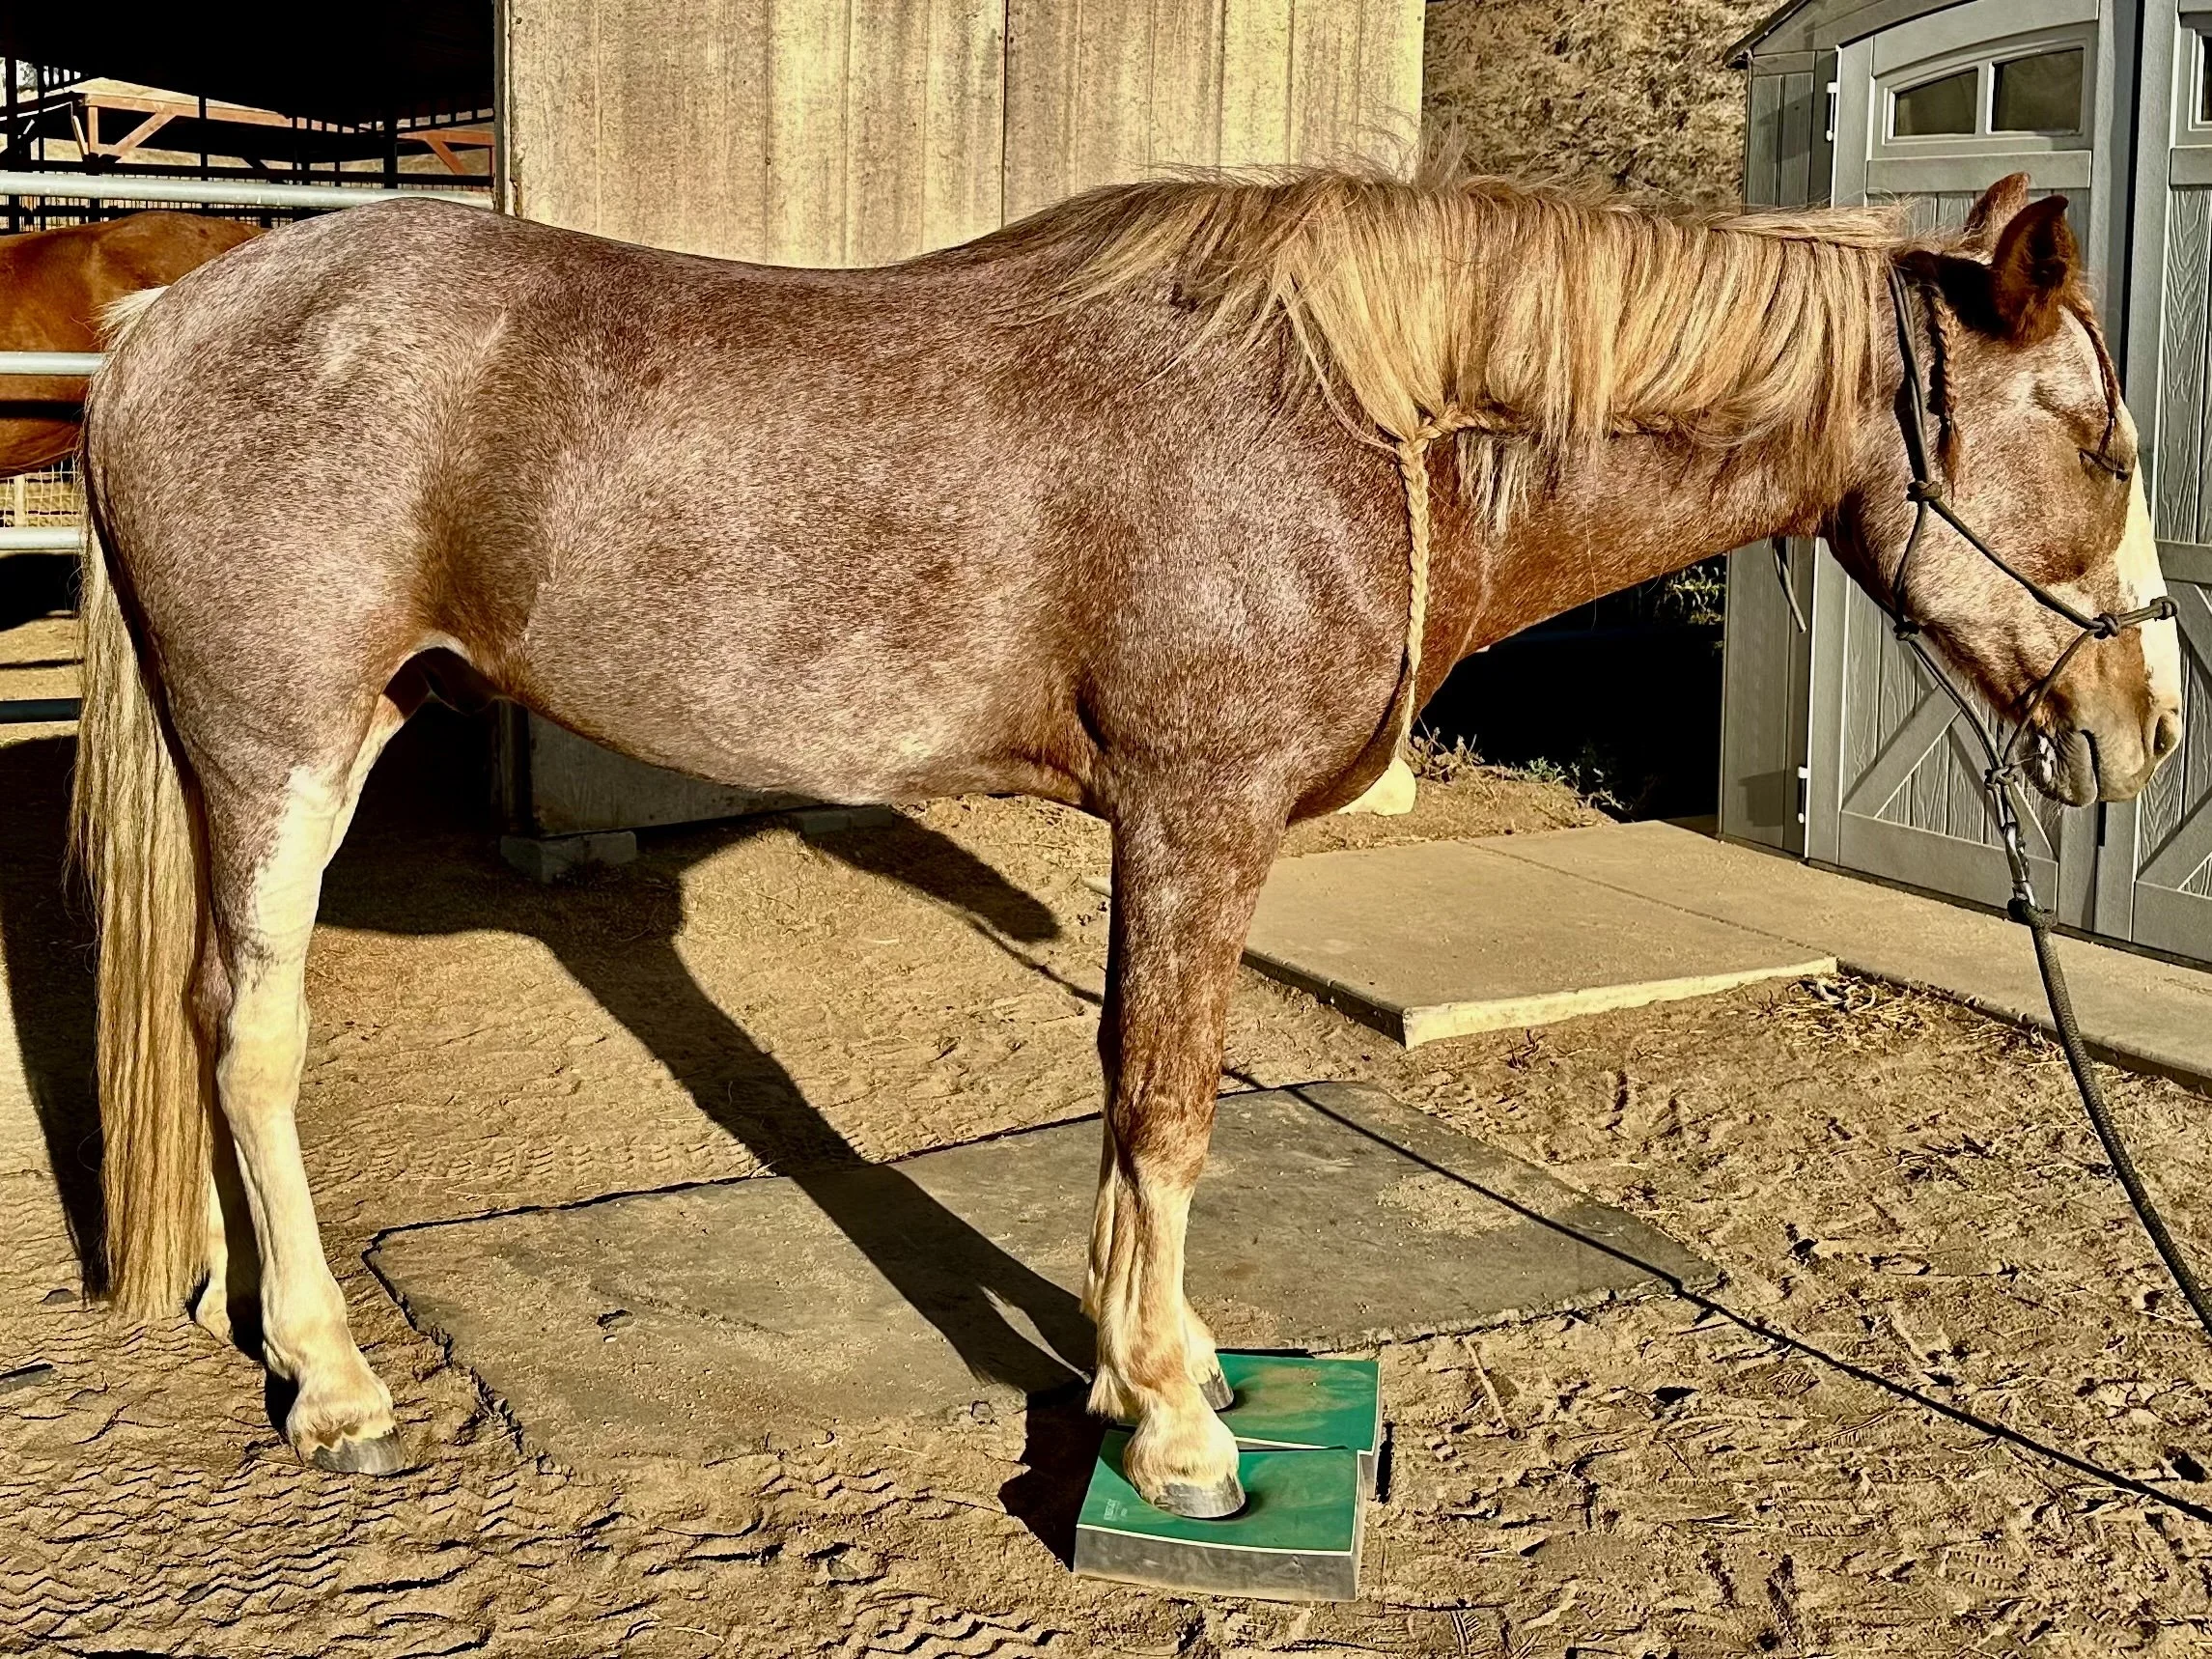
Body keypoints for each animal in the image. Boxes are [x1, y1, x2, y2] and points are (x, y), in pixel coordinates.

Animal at [70, 166, 2181, 1517]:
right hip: (279, 748)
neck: (1367, 423)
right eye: (2100, 442)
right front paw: (1170, 1425)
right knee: (250, 1032)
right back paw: (333, 1377)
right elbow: (1163, 1101)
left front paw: (1163, 1363)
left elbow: (1139, 1092)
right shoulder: (1194, 814)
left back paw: (250, 1316)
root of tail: (164, 317)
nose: (2147, 727)